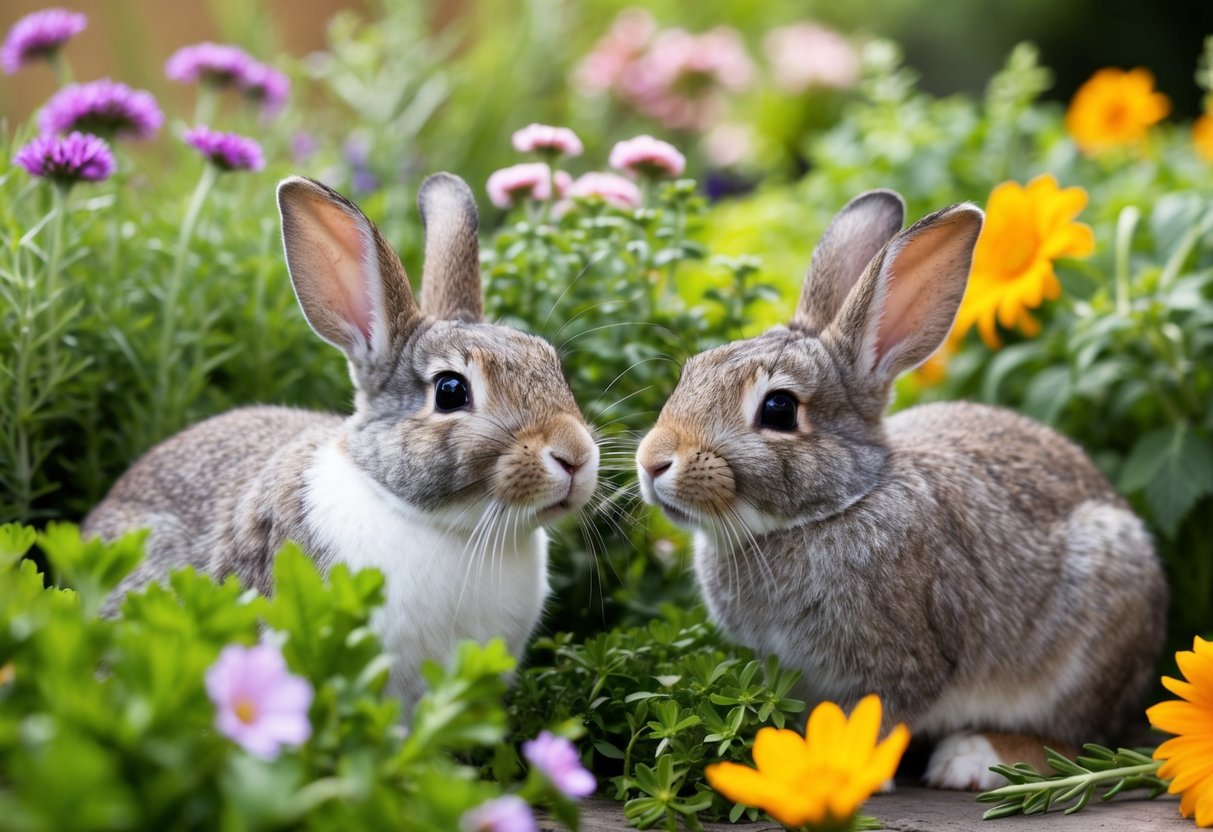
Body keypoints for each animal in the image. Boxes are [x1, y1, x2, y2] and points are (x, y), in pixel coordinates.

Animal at [635, 190, 1167, 790]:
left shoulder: (903, 664)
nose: (652, 462)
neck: (834, 507)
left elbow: (878, 718)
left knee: (1075, 740)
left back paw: (972, 759)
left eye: (778, 410)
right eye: (692, 371)